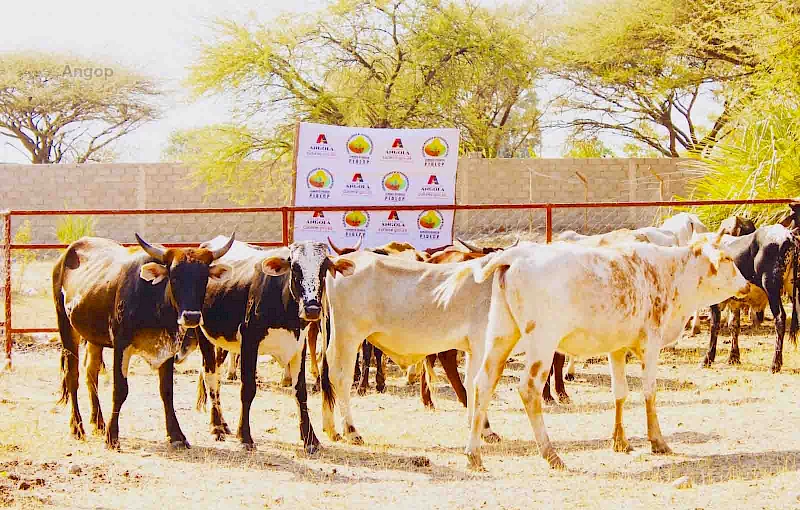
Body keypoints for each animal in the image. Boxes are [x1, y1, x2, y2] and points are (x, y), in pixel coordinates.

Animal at [52, 233, 233, 448]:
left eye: (204, 278)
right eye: (174, 277)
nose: (191, 317)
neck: (154, 302)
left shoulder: (168, 349)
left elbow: (167, 391)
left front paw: (177, 435)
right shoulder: (121, 345)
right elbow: (120, 390)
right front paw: (112, 437)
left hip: (93, 338)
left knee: (91, 374)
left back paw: (98, 423)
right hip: (66, 326)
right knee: (72, 376)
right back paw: (78, 428)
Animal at [194, 237, 354, 452]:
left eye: (323, 268)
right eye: (294, 268)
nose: (312, 309)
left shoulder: (298, 347)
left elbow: (300, 391)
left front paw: (310, 439)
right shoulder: (249, 342)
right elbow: (248, 388)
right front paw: (245, 436)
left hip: (222, 340)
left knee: (215, 374)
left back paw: (223, 424)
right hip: (203, 333)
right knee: (210, 374)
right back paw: (216, 427)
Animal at [432, 232, 752, 470]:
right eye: (726, 258)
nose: (747, 285)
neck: (669, 273)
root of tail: (517, 255)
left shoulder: (617, 347)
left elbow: (620, 392)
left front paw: (620, 441)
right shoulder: (650, 343)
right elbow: (649, 392)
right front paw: (657, 441)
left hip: (500, 335)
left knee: (482, 384)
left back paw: (474, 454)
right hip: (542, 342)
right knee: (529, 389)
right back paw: (551, 454)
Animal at [696, 225, 796, 372]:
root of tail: (787, 235)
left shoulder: (715, 300)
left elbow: (714, 326)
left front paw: (707, 359)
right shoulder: (734, 302)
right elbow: (734, 325)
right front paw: (733, 358)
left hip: (771, 286)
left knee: (779, 318)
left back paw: (775, 364)